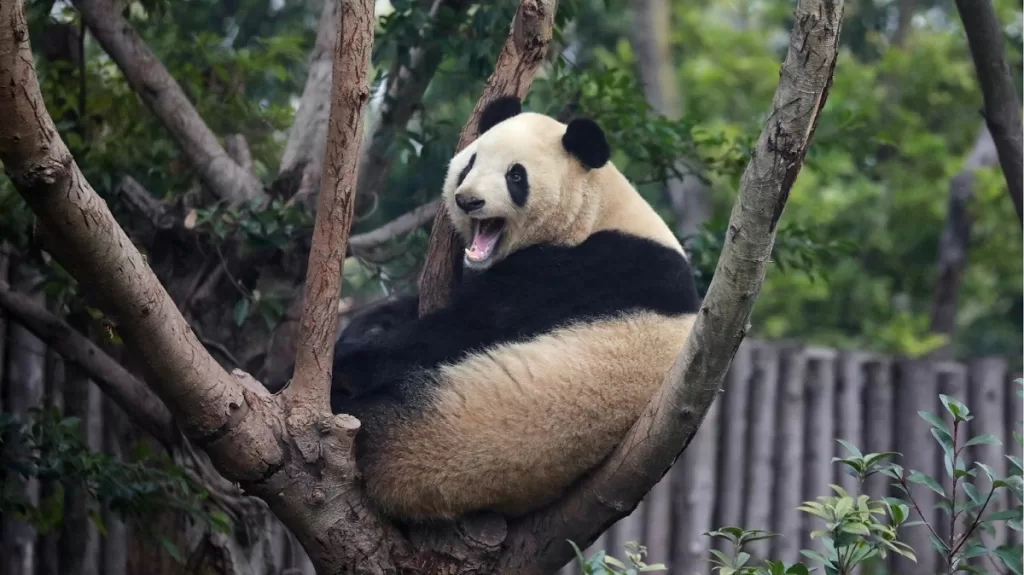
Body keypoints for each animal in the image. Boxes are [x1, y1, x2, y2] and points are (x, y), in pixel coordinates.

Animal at [329, 96, 701, 522]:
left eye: (516, 176)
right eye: (470, 164)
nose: (468, 200)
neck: (597, 211)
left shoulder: (589, 270)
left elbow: (467, 326)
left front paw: (348, 358)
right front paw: (368, 324)